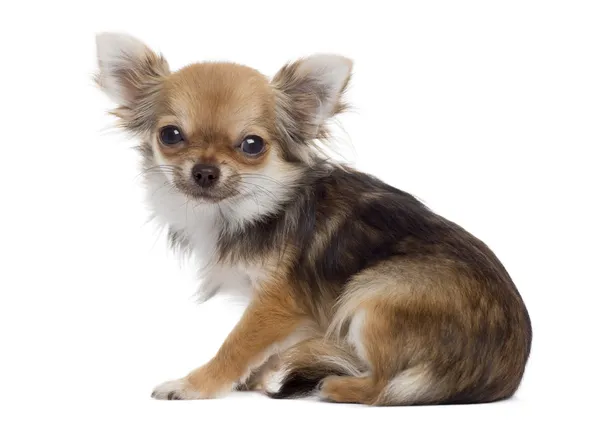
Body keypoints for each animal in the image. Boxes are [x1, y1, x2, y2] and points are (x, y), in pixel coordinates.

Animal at [96, 32, 532, 404]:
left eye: (251, 145)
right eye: (170, 135)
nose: (204, 171)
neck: (246, 209)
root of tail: (502, 377)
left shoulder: (276, 305)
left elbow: (236, 345)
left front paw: (194, 385)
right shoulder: (297, 315)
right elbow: (270, 350)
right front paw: (253, 378)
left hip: (373, 292)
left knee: (383, 388)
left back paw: (335, 385)